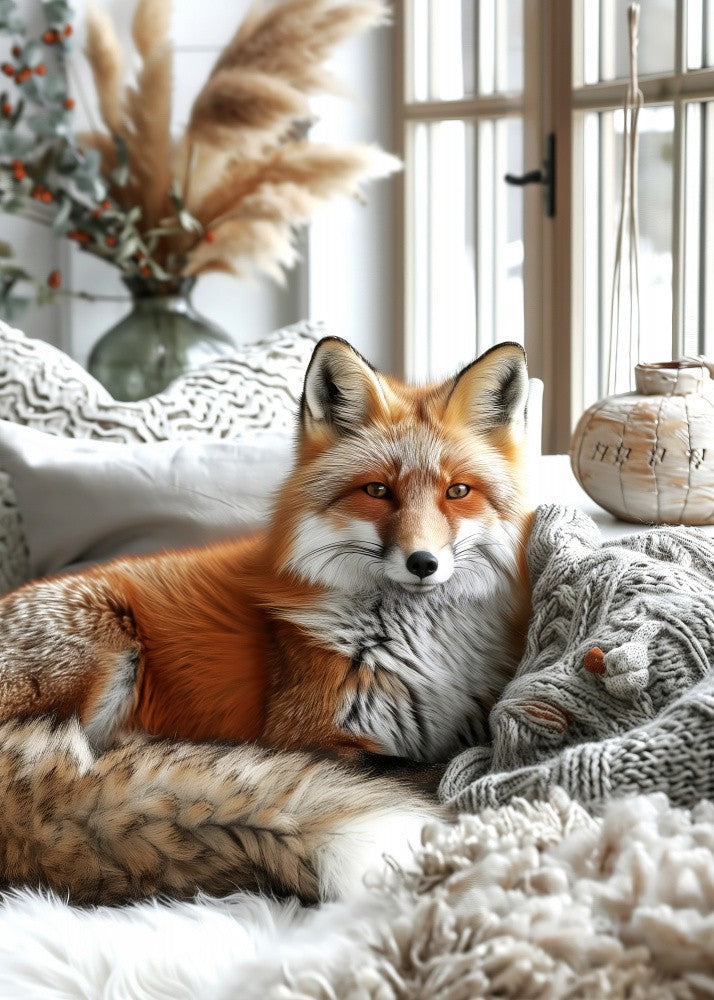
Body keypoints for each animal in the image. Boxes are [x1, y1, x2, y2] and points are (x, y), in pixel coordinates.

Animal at [0, 337, 532, 905]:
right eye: (377, 491)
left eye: (458, 492)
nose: (423, 563)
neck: (423, 653)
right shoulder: (309, 735)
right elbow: (434, 765)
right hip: (105, 652)